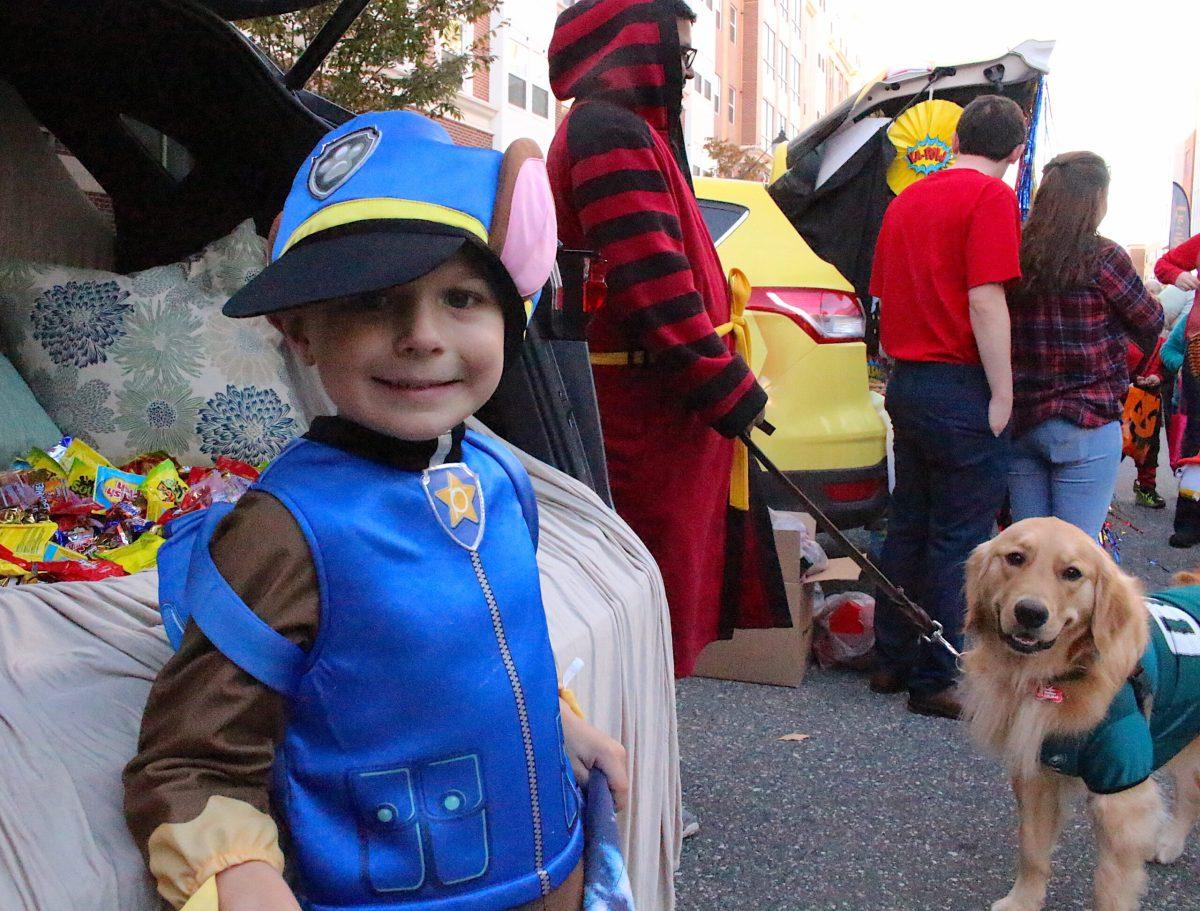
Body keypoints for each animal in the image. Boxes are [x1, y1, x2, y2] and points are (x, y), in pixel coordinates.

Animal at [960, 520, 1200, 911]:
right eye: (1015, 558)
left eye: (1072, 573)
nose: (1030, 613)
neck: (1059, 676)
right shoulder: (1039, 775)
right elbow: (1032, 850)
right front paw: (1023, 901)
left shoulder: (1122, 794)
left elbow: (1109, 886)